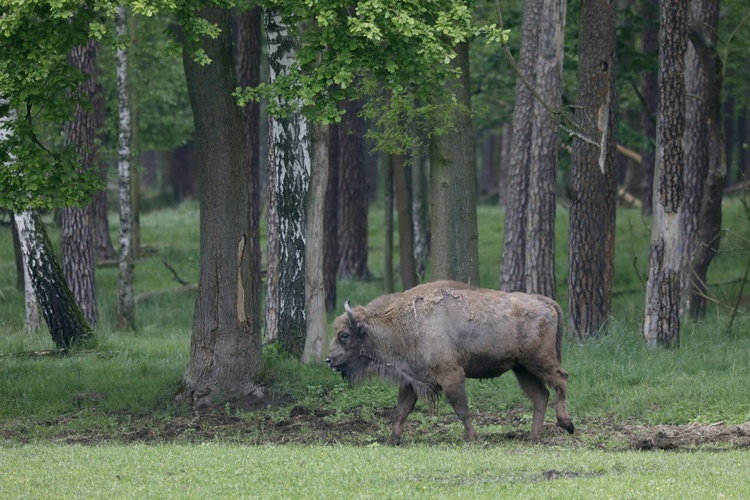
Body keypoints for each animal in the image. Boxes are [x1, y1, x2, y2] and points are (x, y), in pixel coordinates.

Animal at [328, 282, 576, 446]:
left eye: (344, 335)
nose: (329, 359)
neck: (403, 323)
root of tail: (545, 302)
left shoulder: (451, 375)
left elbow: (461, 409)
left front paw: (473, 438)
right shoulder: (411, 381)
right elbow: (401, 411)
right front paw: (392, 440)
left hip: (539, 361)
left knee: (561, 379)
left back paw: (566, 424)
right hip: (522, 368)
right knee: (540, 395)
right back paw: (533, 437)